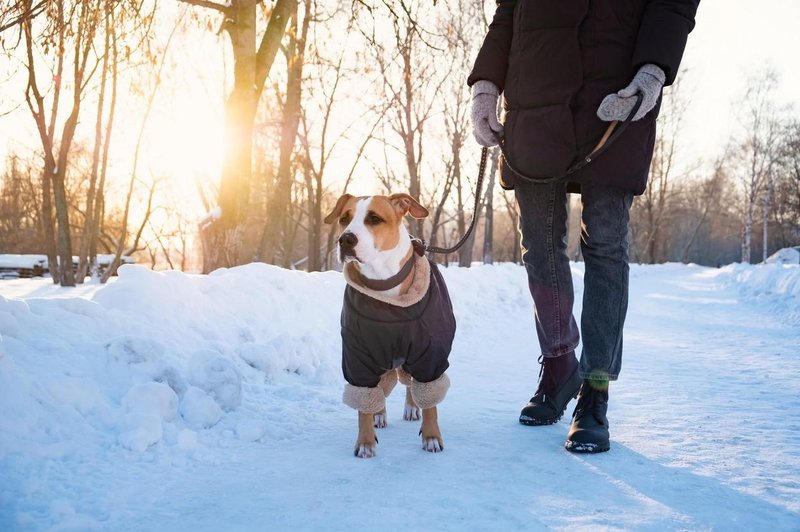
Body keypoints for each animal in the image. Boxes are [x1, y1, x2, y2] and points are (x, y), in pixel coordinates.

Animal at [322, 191, 454, 458]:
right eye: (344, 218)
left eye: (374, 218)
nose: (345, 239)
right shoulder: (358, 353)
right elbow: (364, 399)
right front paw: (365, 441)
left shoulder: (430, 353)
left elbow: (430, 398)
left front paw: (432, 436)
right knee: (380, 389)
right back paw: (379, 414)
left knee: (412, 384)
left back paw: (412, 408)